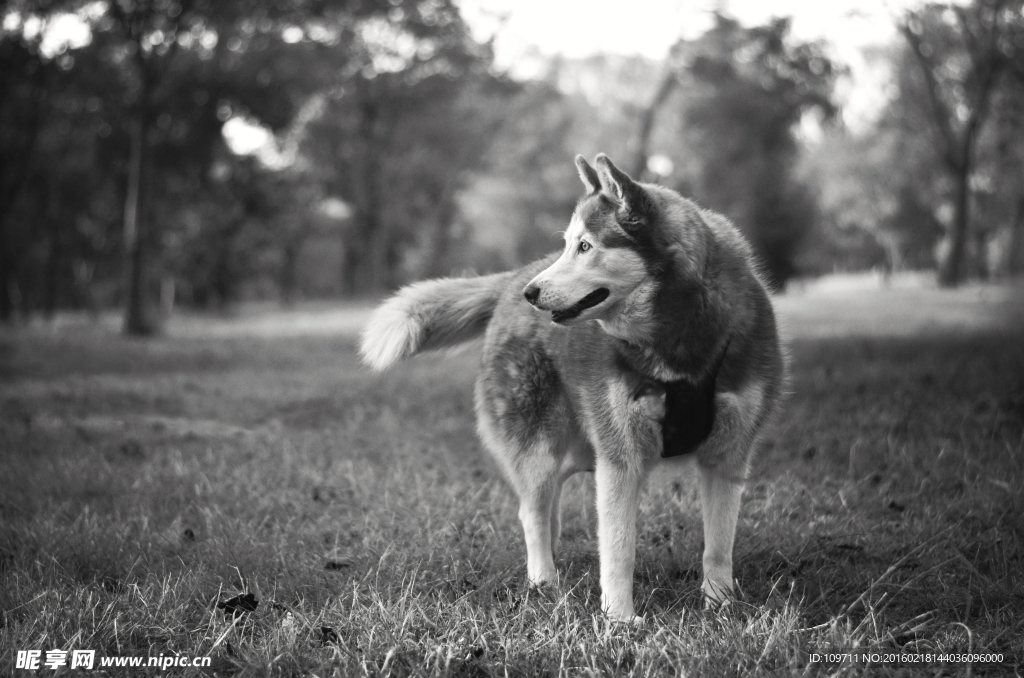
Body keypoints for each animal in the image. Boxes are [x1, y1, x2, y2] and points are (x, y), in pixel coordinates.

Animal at [360, 155, 782, 626]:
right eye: (569, 245)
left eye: (585, 246)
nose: (533, 293)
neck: (678, 342)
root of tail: (513, 279)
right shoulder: (620, 458)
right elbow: (618, 548)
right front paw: (620, 620)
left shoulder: (727, 456)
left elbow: (718, 546)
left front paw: (721, 606)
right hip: (541, 444)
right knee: (532, 509)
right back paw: (543, 579)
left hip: (580, 447)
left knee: (549, 503)